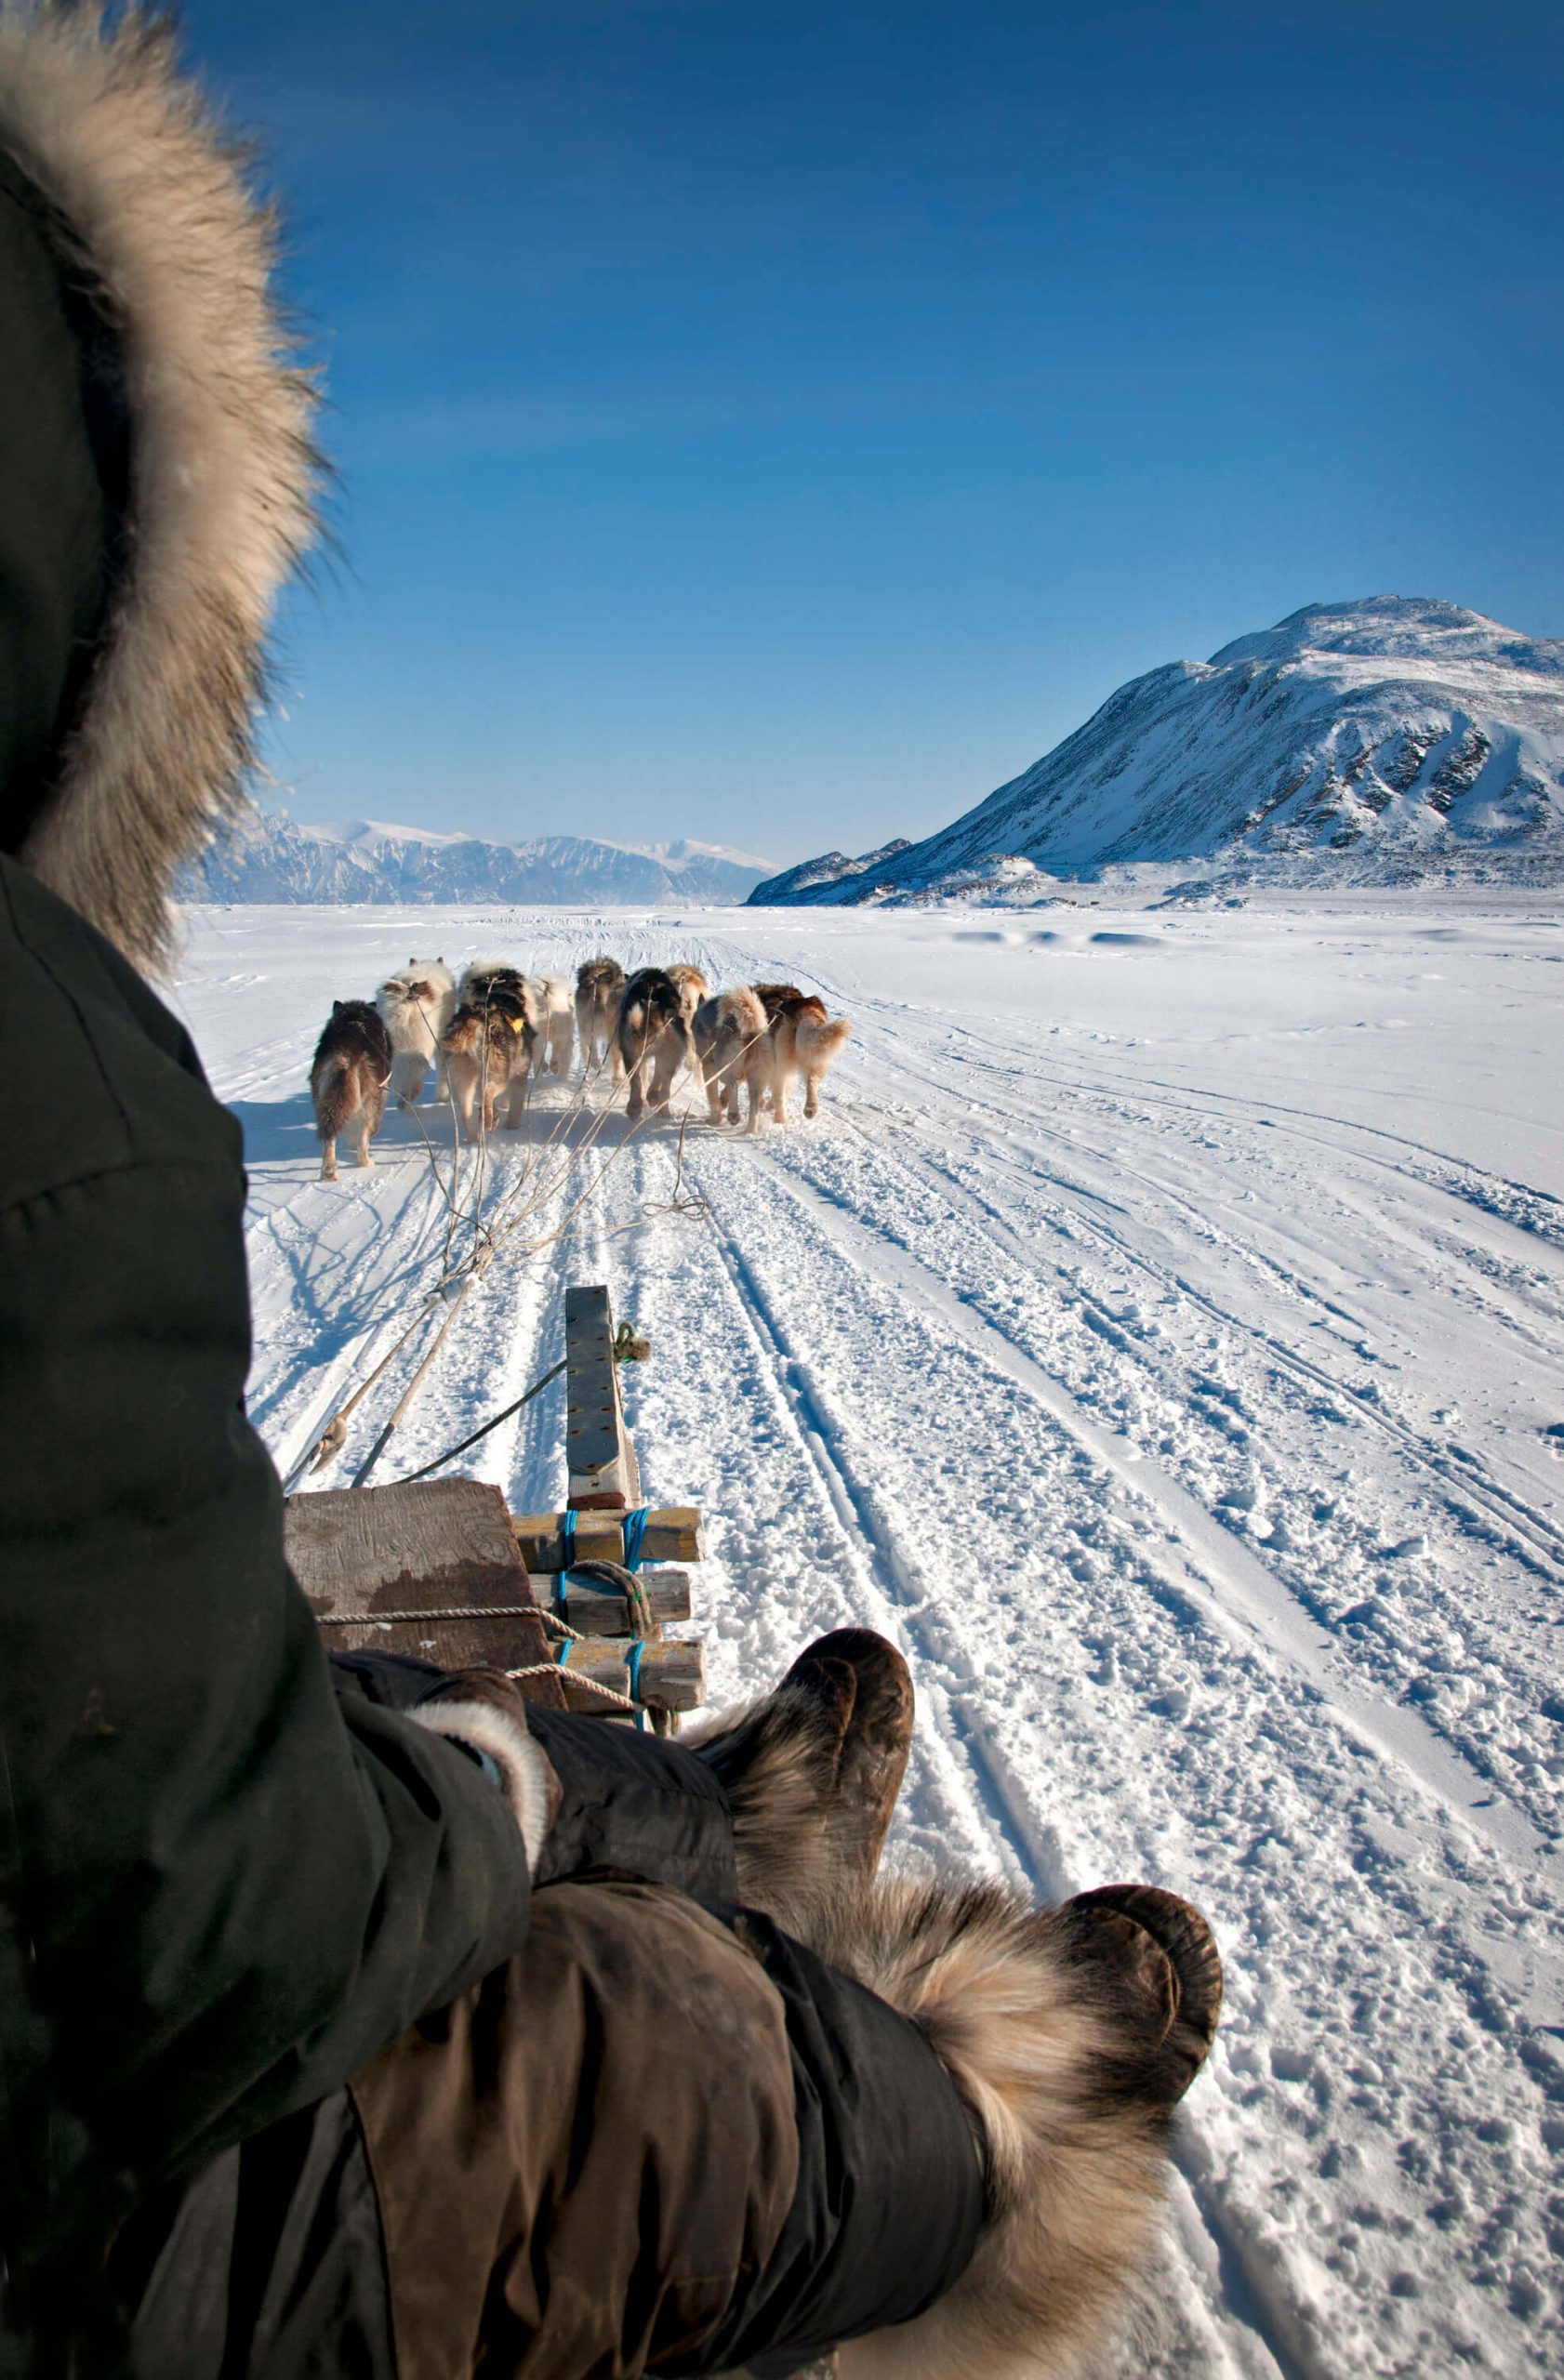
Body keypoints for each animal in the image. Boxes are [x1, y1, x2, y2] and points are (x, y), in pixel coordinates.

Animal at [307, 999, 388, 1184]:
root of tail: (343, 1052)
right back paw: (366, 1162)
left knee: (330, 1135)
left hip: (322, 1100)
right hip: (368, 1102)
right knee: (363, 1138)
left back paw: (328, 1171)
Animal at [438, 961, 537, 1137]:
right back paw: (488, 1121)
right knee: (487, 1093)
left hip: (464, 1079)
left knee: (466, 1114)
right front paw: (511, 1124)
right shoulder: (520, 1071)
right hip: (499, 1074)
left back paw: (477, 1135)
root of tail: (472, 1022)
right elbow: (516, 1102)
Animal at [614, 961, 685, 1118]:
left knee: (637, 1081)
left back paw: (634, 1107)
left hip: (633, 1053)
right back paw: (661, 1108)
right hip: (667, 1056)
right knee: (664, 1085)